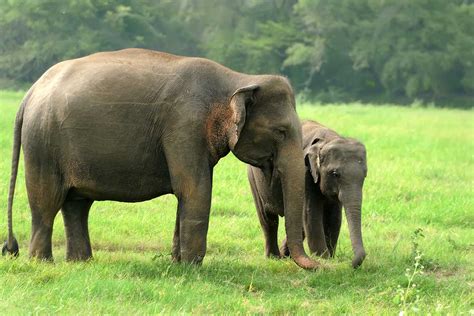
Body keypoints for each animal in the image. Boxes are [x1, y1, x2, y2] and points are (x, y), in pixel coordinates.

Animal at [1, 48, 318, 270]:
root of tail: (29, 93)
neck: (238, 78)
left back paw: (81, 263)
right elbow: (194, 189)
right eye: (281, 132)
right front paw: (192, 268)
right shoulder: (185, 126)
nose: (318, 266)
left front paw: (177, 263)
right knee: (47, 201)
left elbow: (187, 193)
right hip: (42, 143)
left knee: (77, 204)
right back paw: (43, 263)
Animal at [250, 119, 368, 268]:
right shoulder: (305, 173)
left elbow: (334, 217)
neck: (327, 140)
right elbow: (311, 214)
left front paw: (330, 258)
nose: (350, 263)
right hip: (254, 178)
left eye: (365, 175)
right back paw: (274, 258)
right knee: (268, 219)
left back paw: (285, 256)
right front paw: (323, 258)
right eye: (335, 173)